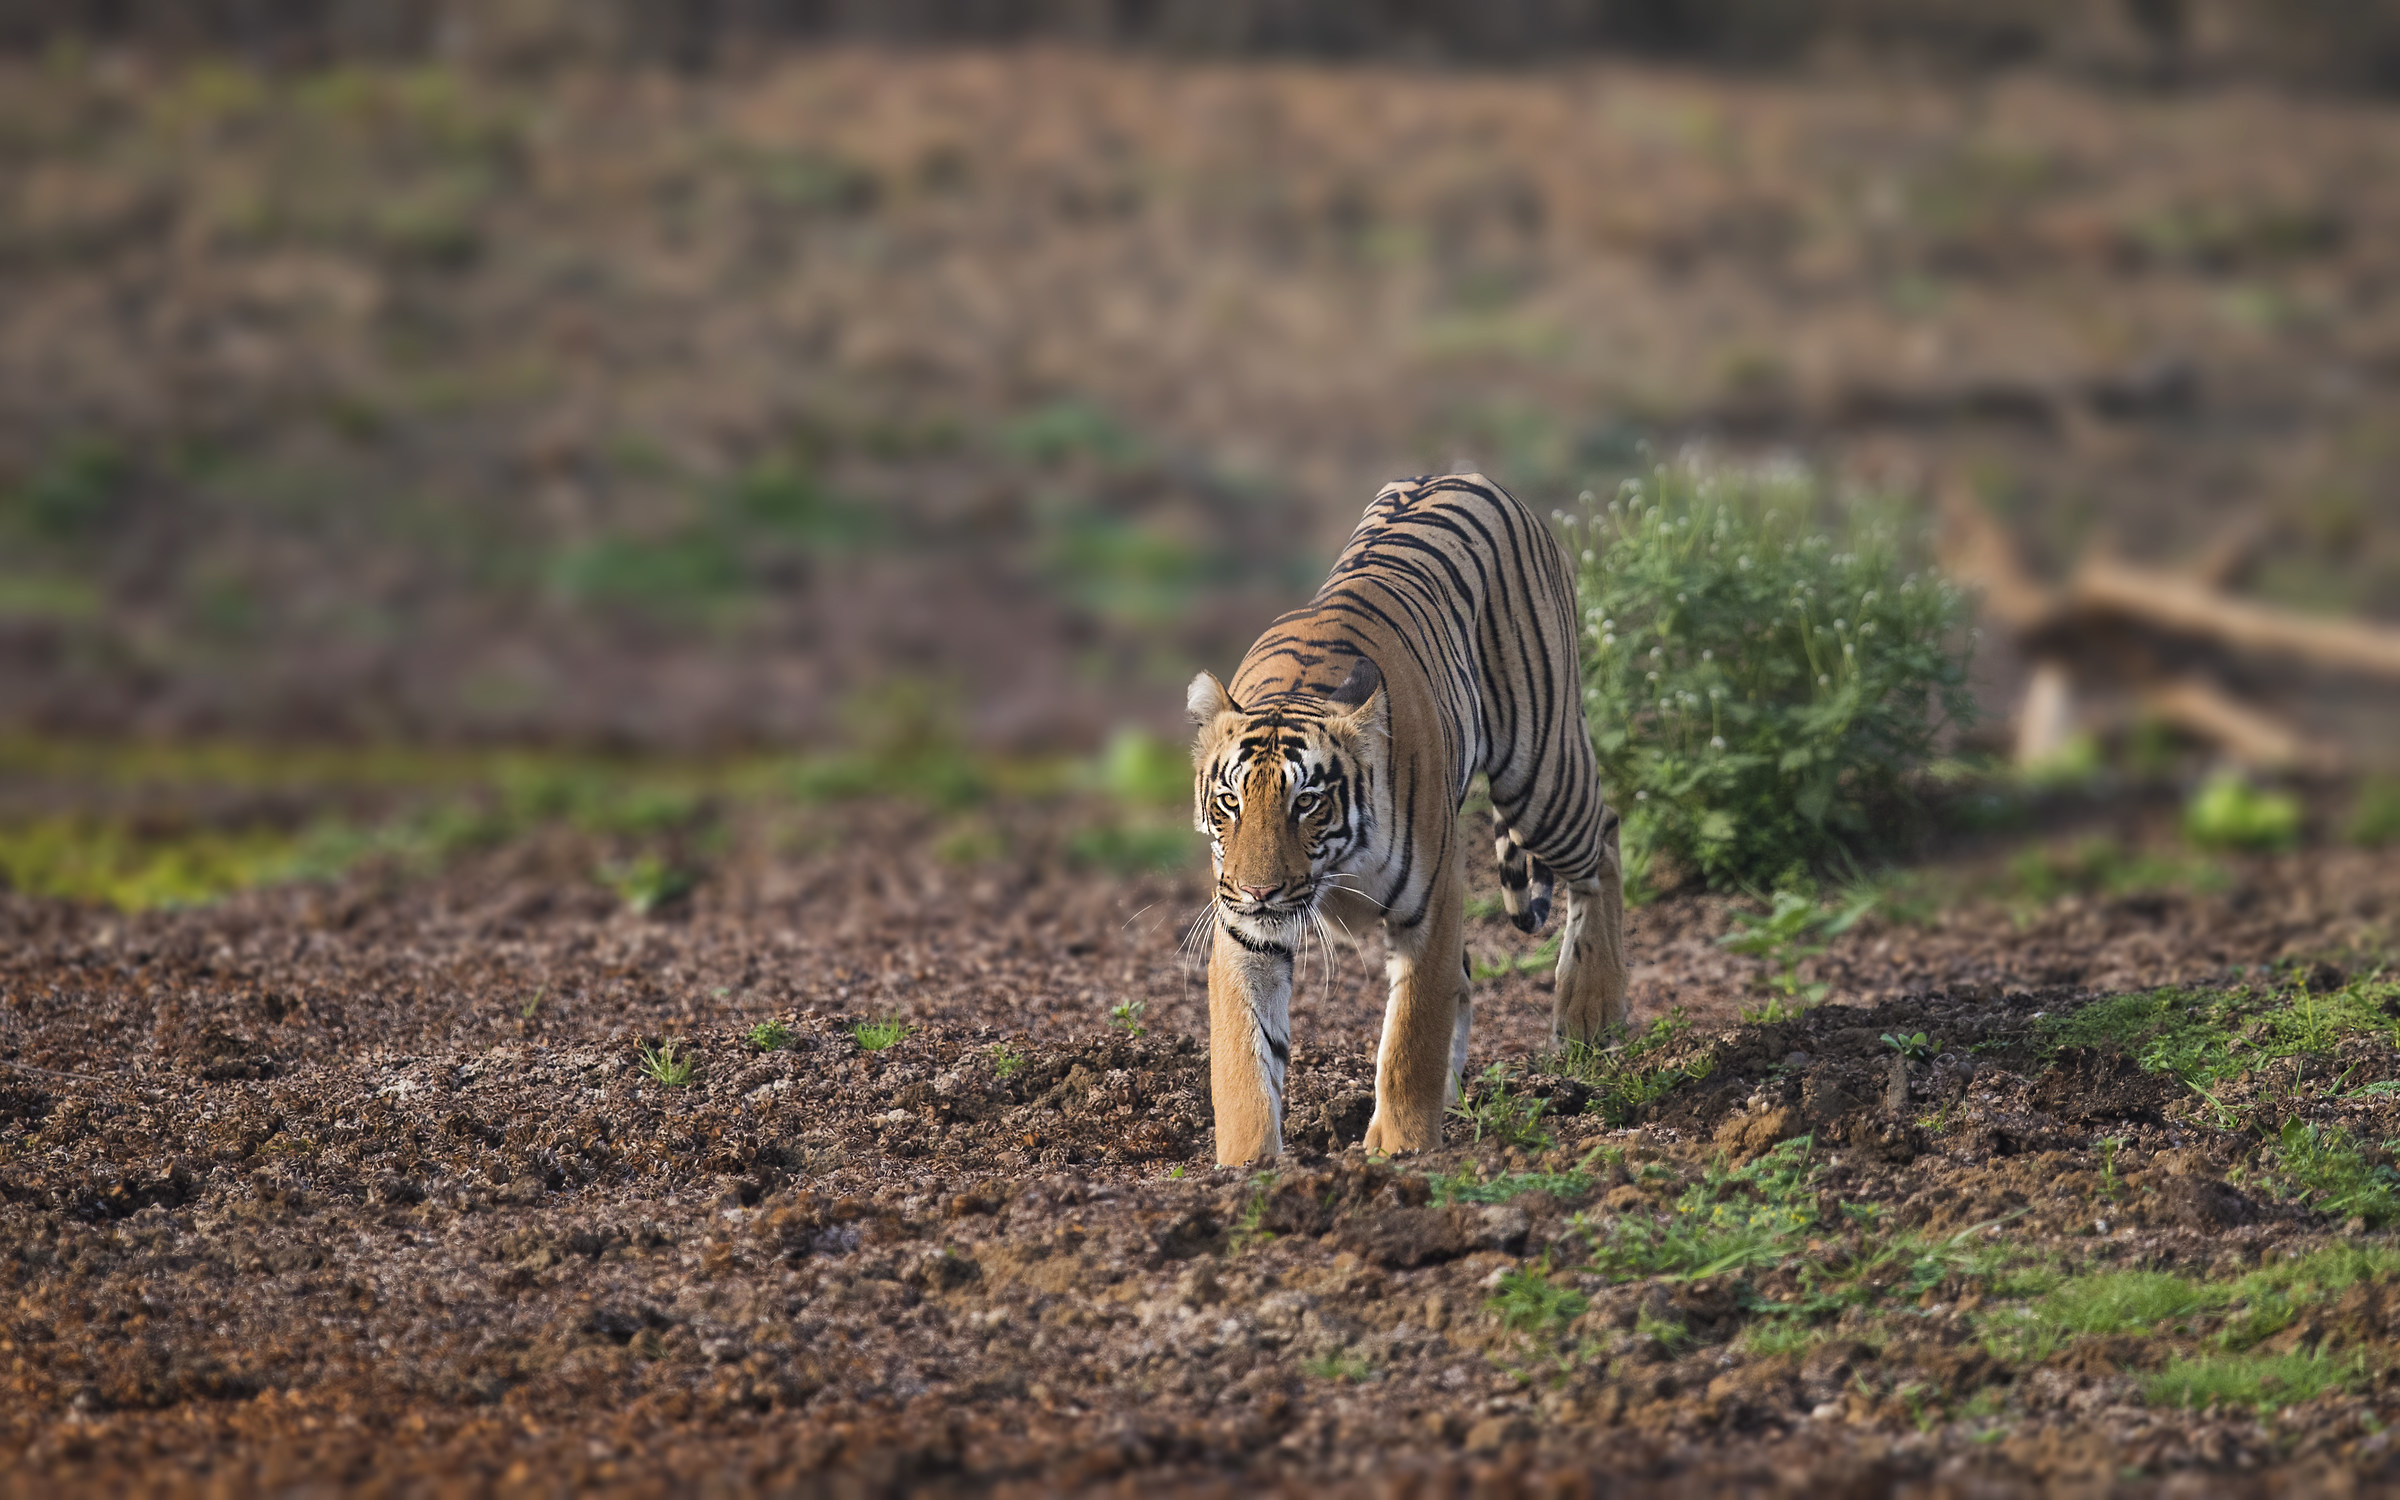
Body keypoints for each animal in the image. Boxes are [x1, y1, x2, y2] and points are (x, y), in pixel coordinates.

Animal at [1187, 472, 1628, 1165]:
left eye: (1306, 802)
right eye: (1230, 801)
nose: (1259, 891)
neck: (1337, 868)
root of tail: (1468, 476)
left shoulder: (1433, 905)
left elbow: (1411, 1035)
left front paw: (1401, 1148)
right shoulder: (1243, 929)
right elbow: (1243, 1056)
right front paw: (1245, 1164)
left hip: (1542, 772)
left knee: (1603, 842)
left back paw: (1591, 1012)